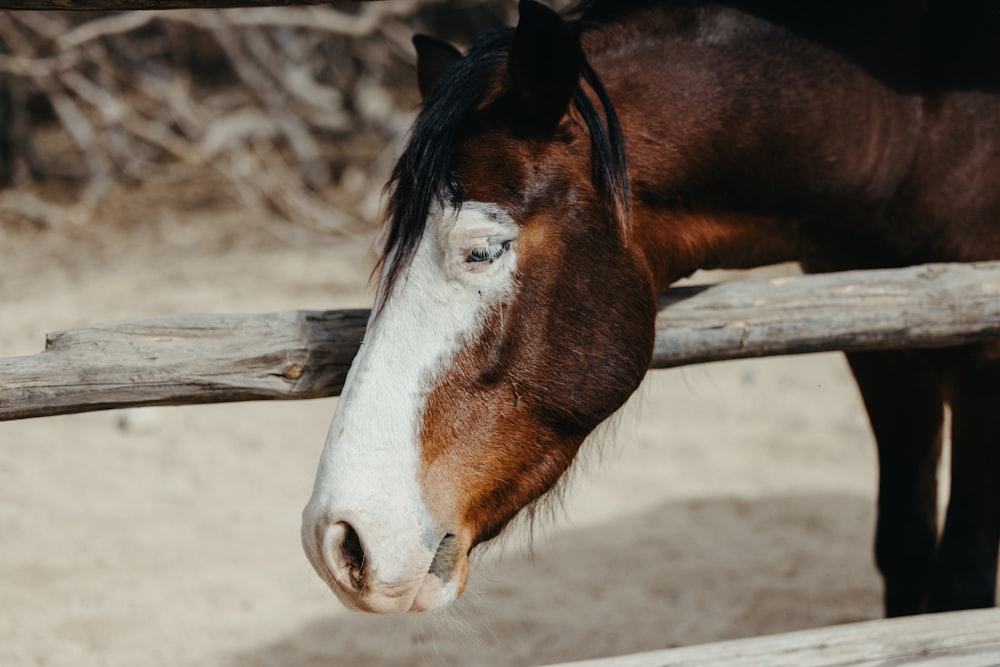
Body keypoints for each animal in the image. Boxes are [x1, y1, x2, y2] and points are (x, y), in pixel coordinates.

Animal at [300, 0, 1000, 620]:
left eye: (483, 249)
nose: (340, 542)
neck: (915, 116)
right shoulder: (887, 350)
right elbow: (905, 550)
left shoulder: (980, 359)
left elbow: (962, 581)